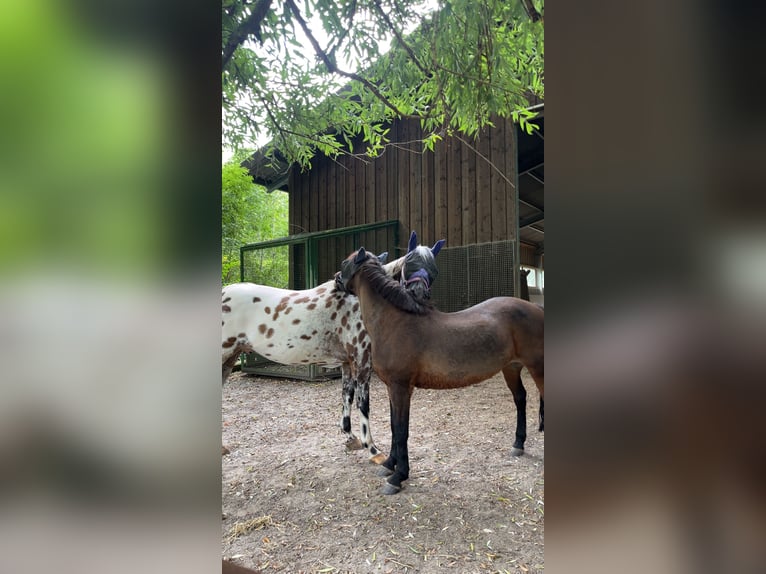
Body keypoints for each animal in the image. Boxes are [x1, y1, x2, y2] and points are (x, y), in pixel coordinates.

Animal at [222, 231, 445, 464]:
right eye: (409, 261)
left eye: (434, 268)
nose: (418, 293)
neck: (359, 300)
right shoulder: (362, 362)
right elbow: (363, 403)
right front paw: (372, 449)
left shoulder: (347, 363)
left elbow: (347, 396)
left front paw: (350, 437)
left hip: (230, 359)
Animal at [335, 247, 544, 494]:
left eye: (344, 262)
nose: (336, 279)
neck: (395, 322)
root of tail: (537, 309)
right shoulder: (393, 389)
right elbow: (395, 428)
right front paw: (388, 465)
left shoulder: (401, 388)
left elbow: (401, 430)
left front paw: (398, 476)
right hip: (511, 368)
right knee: (520, 398)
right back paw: (518, 444)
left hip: (537, 367)